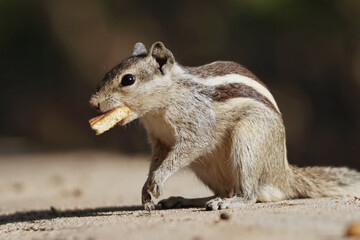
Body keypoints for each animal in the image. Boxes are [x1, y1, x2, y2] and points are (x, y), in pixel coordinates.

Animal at [89, 41, 360, 210]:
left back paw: (229, 203)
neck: (160, 107)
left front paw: (157, 180)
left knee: (250, 195)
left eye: (128, 79)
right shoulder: (160, 142)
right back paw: (186, 200)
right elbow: (155, 162)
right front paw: (147, 190)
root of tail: (282, 173)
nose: (93, 103)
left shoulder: (196, 126)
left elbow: (186, 149)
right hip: (206, 166)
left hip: (247, 142)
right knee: (226, 190)